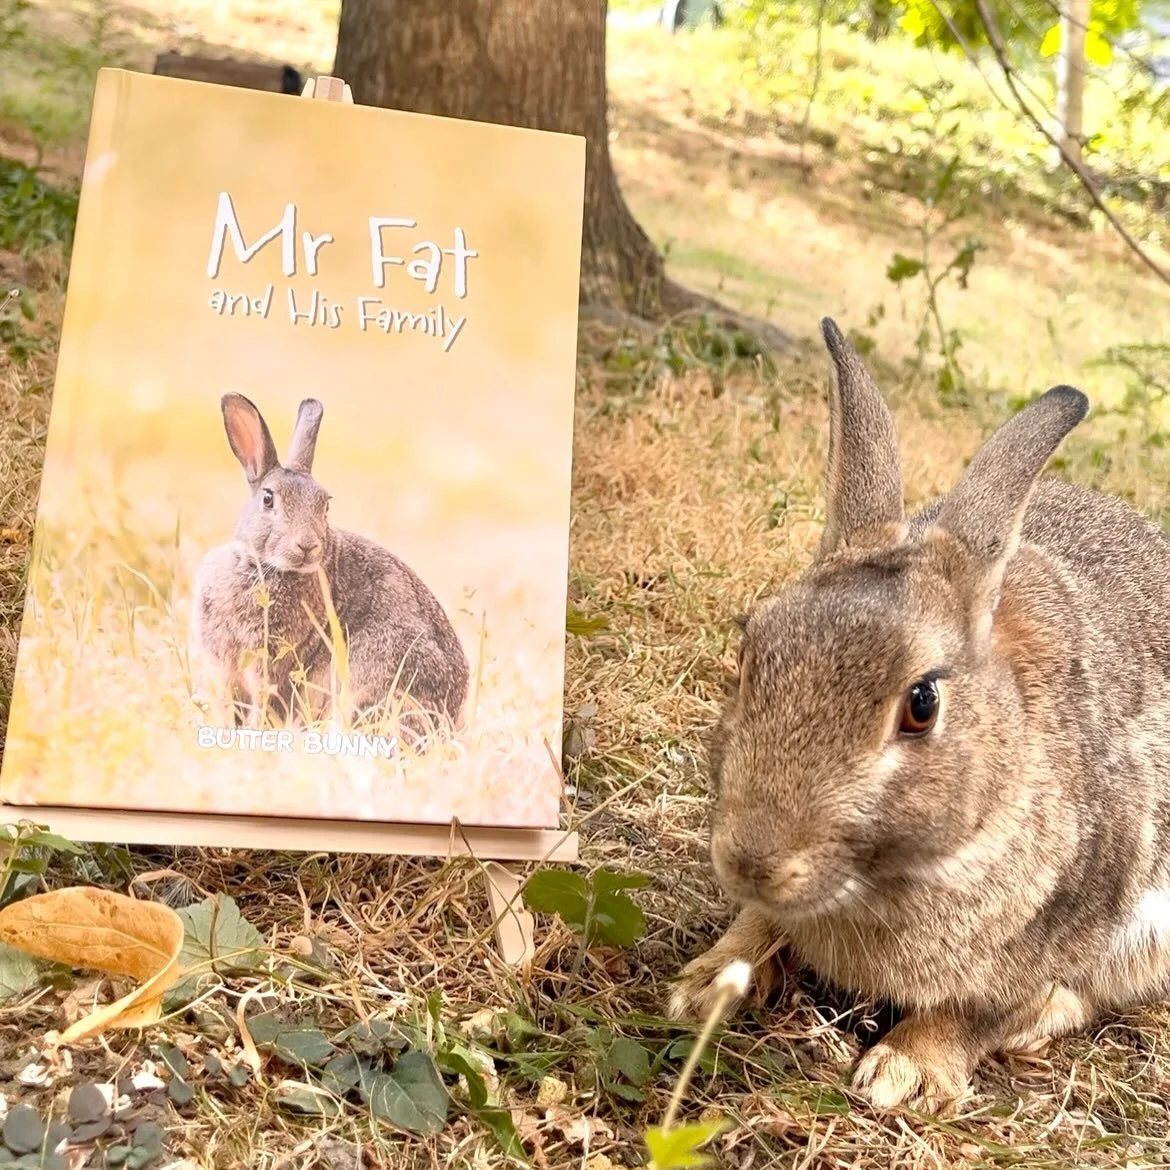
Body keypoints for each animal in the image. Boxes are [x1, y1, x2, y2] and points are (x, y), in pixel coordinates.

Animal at [189, 393, 469, 738]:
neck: (259, 567)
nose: (308, 545)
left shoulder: (271, 670)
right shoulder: (227, 674)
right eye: (268, 499)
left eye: (325, 506)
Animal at [668, 316, 1170, 1113]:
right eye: (749, 653)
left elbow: (976, 1011)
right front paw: (708, 985)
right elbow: (757, 926)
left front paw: (903, 1074)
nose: (751, 861)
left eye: (922, 705)